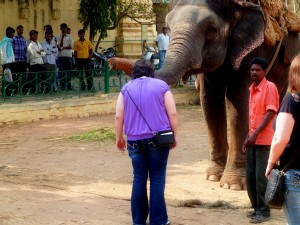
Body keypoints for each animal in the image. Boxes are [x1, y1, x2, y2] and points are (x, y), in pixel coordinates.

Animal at [155, 0, 300, 190]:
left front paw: (233, 185)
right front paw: (213, 176)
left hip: (284, 64)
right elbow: (209, 100)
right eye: (168, 27)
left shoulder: (253, 48)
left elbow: (239, 99)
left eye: (211, 30)